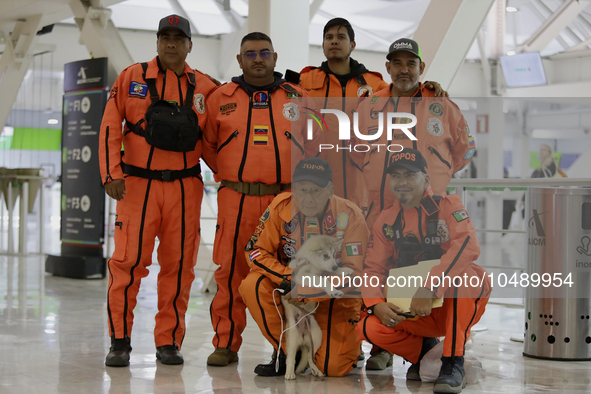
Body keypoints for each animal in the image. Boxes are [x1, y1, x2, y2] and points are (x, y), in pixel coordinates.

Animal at [282, 235, 356, 380]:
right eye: (325, 255)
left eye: (333, 254)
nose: (334, 266)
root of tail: (303, 337)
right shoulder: (303, 275)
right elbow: (322, 280)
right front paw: (333, 291)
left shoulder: (324, 270)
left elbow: (329, 273)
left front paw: (343, 270)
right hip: (292, 339)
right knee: (291, 358)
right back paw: (289, 373)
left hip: (316, 337)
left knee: (310, 358)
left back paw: (317, 371)